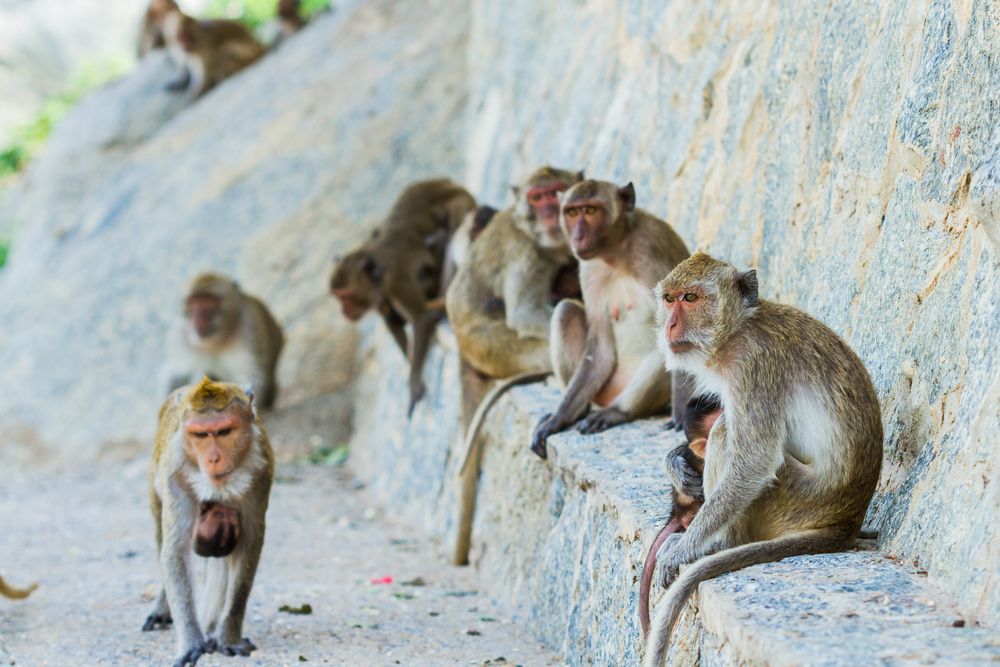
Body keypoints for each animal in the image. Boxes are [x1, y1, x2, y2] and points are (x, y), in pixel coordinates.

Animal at [143, 378, 274, 667]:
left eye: (224, 431)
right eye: (201, 435)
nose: (213, 459)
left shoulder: (262, 472)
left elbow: (248, 545)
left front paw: (227, 636)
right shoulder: (175, 475)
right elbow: (176, 550)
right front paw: (191, 641)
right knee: (161, 534)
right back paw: (163, 608)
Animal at [162, 273, 284, 410]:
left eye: (210, 302)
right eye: (193, 303)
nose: (199, 319)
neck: (216, 343)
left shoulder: (249, 327)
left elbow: (253, 377)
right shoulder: (178, 336)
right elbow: (175, 373)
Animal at [330, 179, 476, 415]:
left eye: (346, 296)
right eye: (338, 297)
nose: (344, 311)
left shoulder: (396, 280)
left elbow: (420, 318)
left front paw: (414, 380)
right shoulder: (380, 297)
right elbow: (393, 324)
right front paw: (410, 361)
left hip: (463, 205)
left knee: (450, 225)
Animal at [530, 180, 692, 460]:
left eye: (591, 211)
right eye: (572, 213)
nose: (578, 236)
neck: (617, 252)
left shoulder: (652, 246)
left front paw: (681, 412)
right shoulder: (590, 268)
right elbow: (600, 347)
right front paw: (558, 419)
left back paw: (617, 412)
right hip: (603, 385)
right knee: (566, 312)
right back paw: (580, 411)